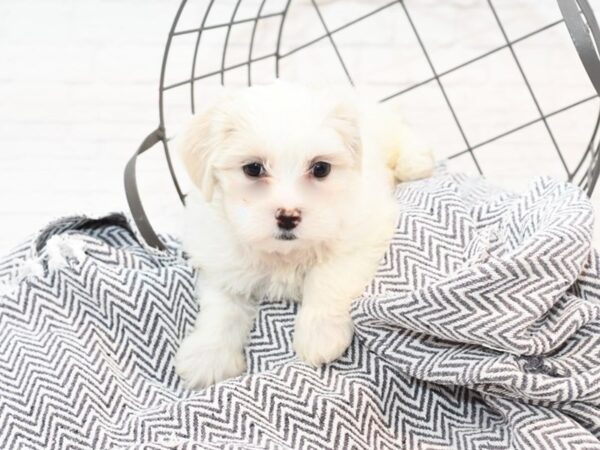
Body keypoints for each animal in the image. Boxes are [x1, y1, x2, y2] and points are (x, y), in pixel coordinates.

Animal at [173, 82, 432, 388]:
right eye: (253, 168)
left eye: (321, 168)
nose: (288, 216)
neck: (284, 254)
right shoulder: (220, 258)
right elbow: (222, 307)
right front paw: (208, 355)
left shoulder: (363, 231)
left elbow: (327, 277)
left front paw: (320, 334)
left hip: (387, 130)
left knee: (402, 134)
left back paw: (416, 161)